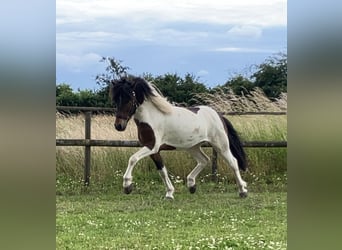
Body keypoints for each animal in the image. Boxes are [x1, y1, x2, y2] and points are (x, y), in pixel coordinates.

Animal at [111, 75, 247, 199]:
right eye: (116, 100)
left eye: (129, 99)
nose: (119, 126)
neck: (152, 118)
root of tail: (219, 115)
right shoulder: (154, 150)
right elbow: (162, 171)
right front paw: (169, 194)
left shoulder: (152, 146)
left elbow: (132, 158)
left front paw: (127, 186)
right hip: (193, 146)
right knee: (204, 160)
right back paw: (191, 185)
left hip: (221, 144)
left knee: (233, 162)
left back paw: (243, 191)